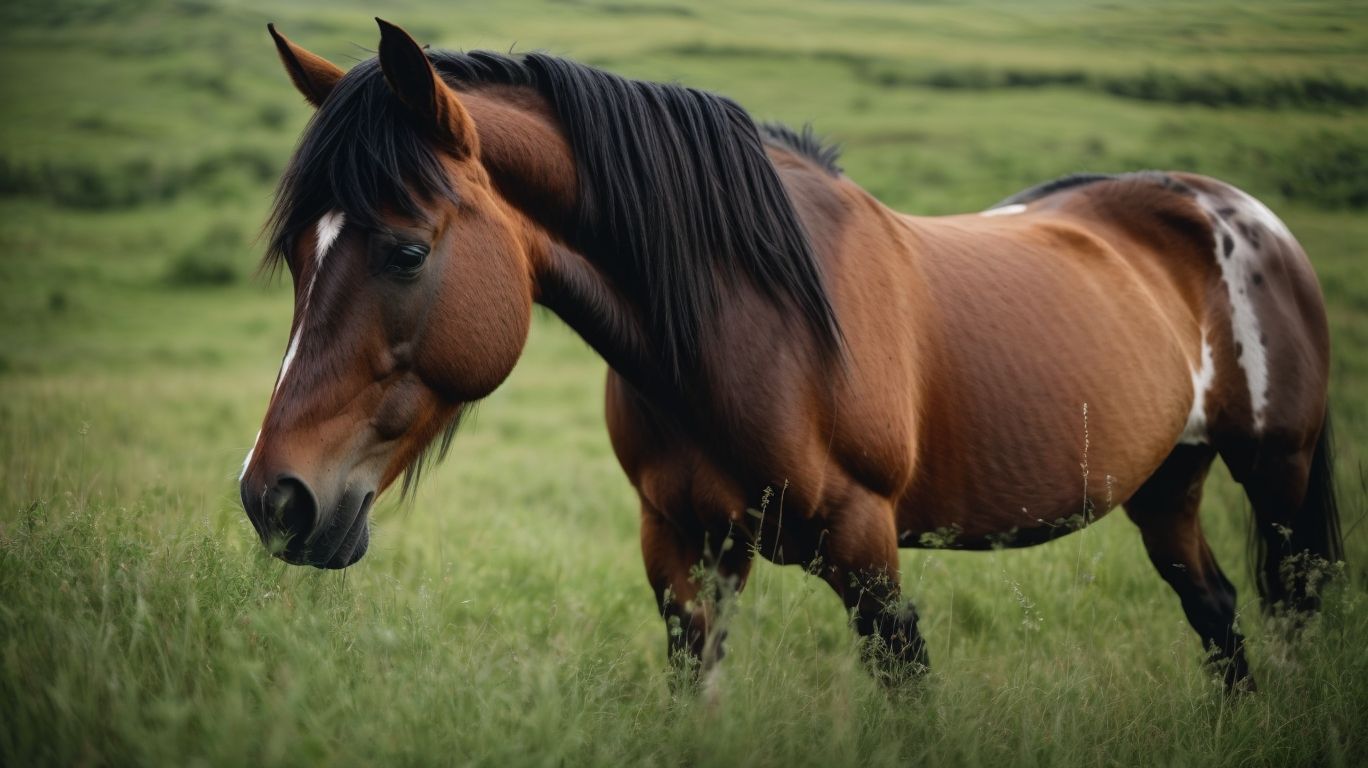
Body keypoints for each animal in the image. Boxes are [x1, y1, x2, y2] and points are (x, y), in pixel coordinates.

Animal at [239, 19, 1342, 692]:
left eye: (406, 250)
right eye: (298, 255)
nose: (275, 499)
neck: (744, 329)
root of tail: (1245, 215)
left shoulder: (867, 554)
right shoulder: (683, 555)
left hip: (1276, 472)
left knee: (1292, 610)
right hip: (1168, 483)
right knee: (1217, 613)